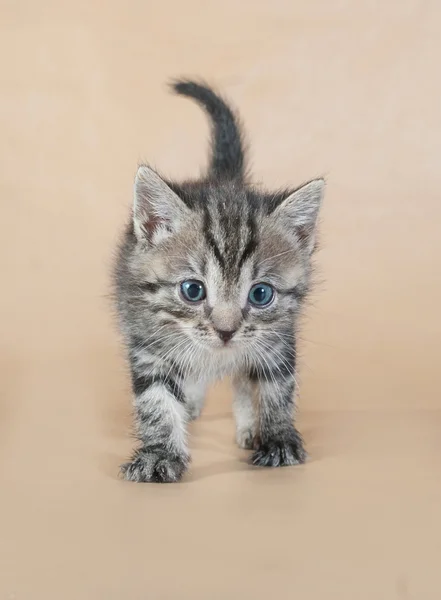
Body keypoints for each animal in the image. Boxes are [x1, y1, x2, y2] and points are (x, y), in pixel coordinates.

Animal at [113, 79, 324, 482]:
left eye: (261, 294)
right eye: (192, 290)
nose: (226, 332)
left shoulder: (277, 339)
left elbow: (276, 387)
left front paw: (276, 437)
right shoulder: (148, 342)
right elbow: (156, 400)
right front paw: (160, 453)